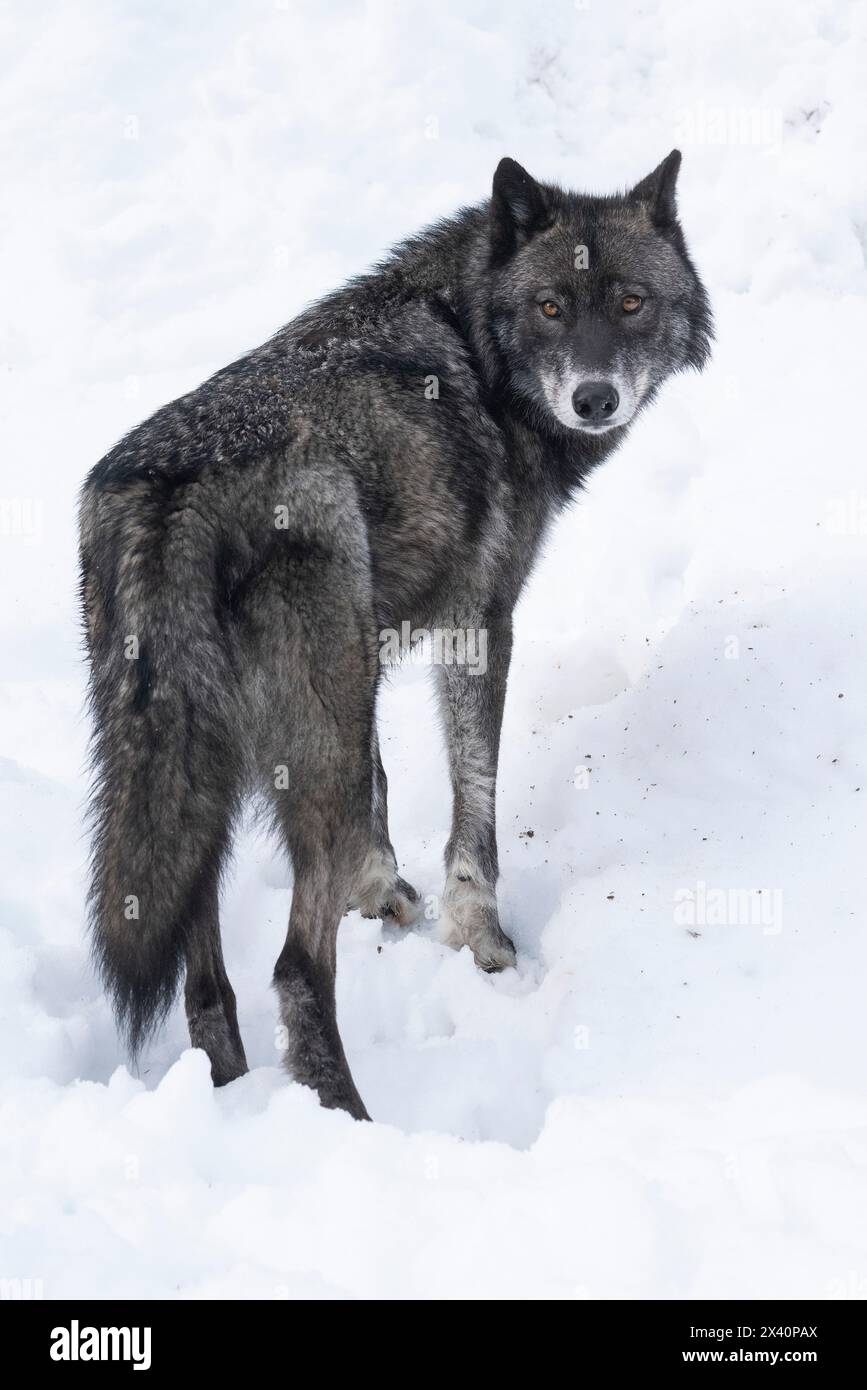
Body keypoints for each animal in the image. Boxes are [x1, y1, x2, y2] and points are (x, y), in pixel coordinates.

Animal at [79, 149, 711, 1117]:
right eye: (550, 307)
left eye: (631, 302)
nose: (594, 398)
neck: (475, 340)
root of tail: (172, 491)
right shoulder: (479, 621)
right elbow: (474, 804)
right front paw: (481, 939)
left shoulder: (368, 658)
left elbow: (386, 794)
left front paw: (379, 896)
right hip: (302, 754)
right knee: (294, 969)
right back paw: (345, 1115)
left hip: (204, 773)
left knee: (204, 978)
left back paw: (232, 1096)